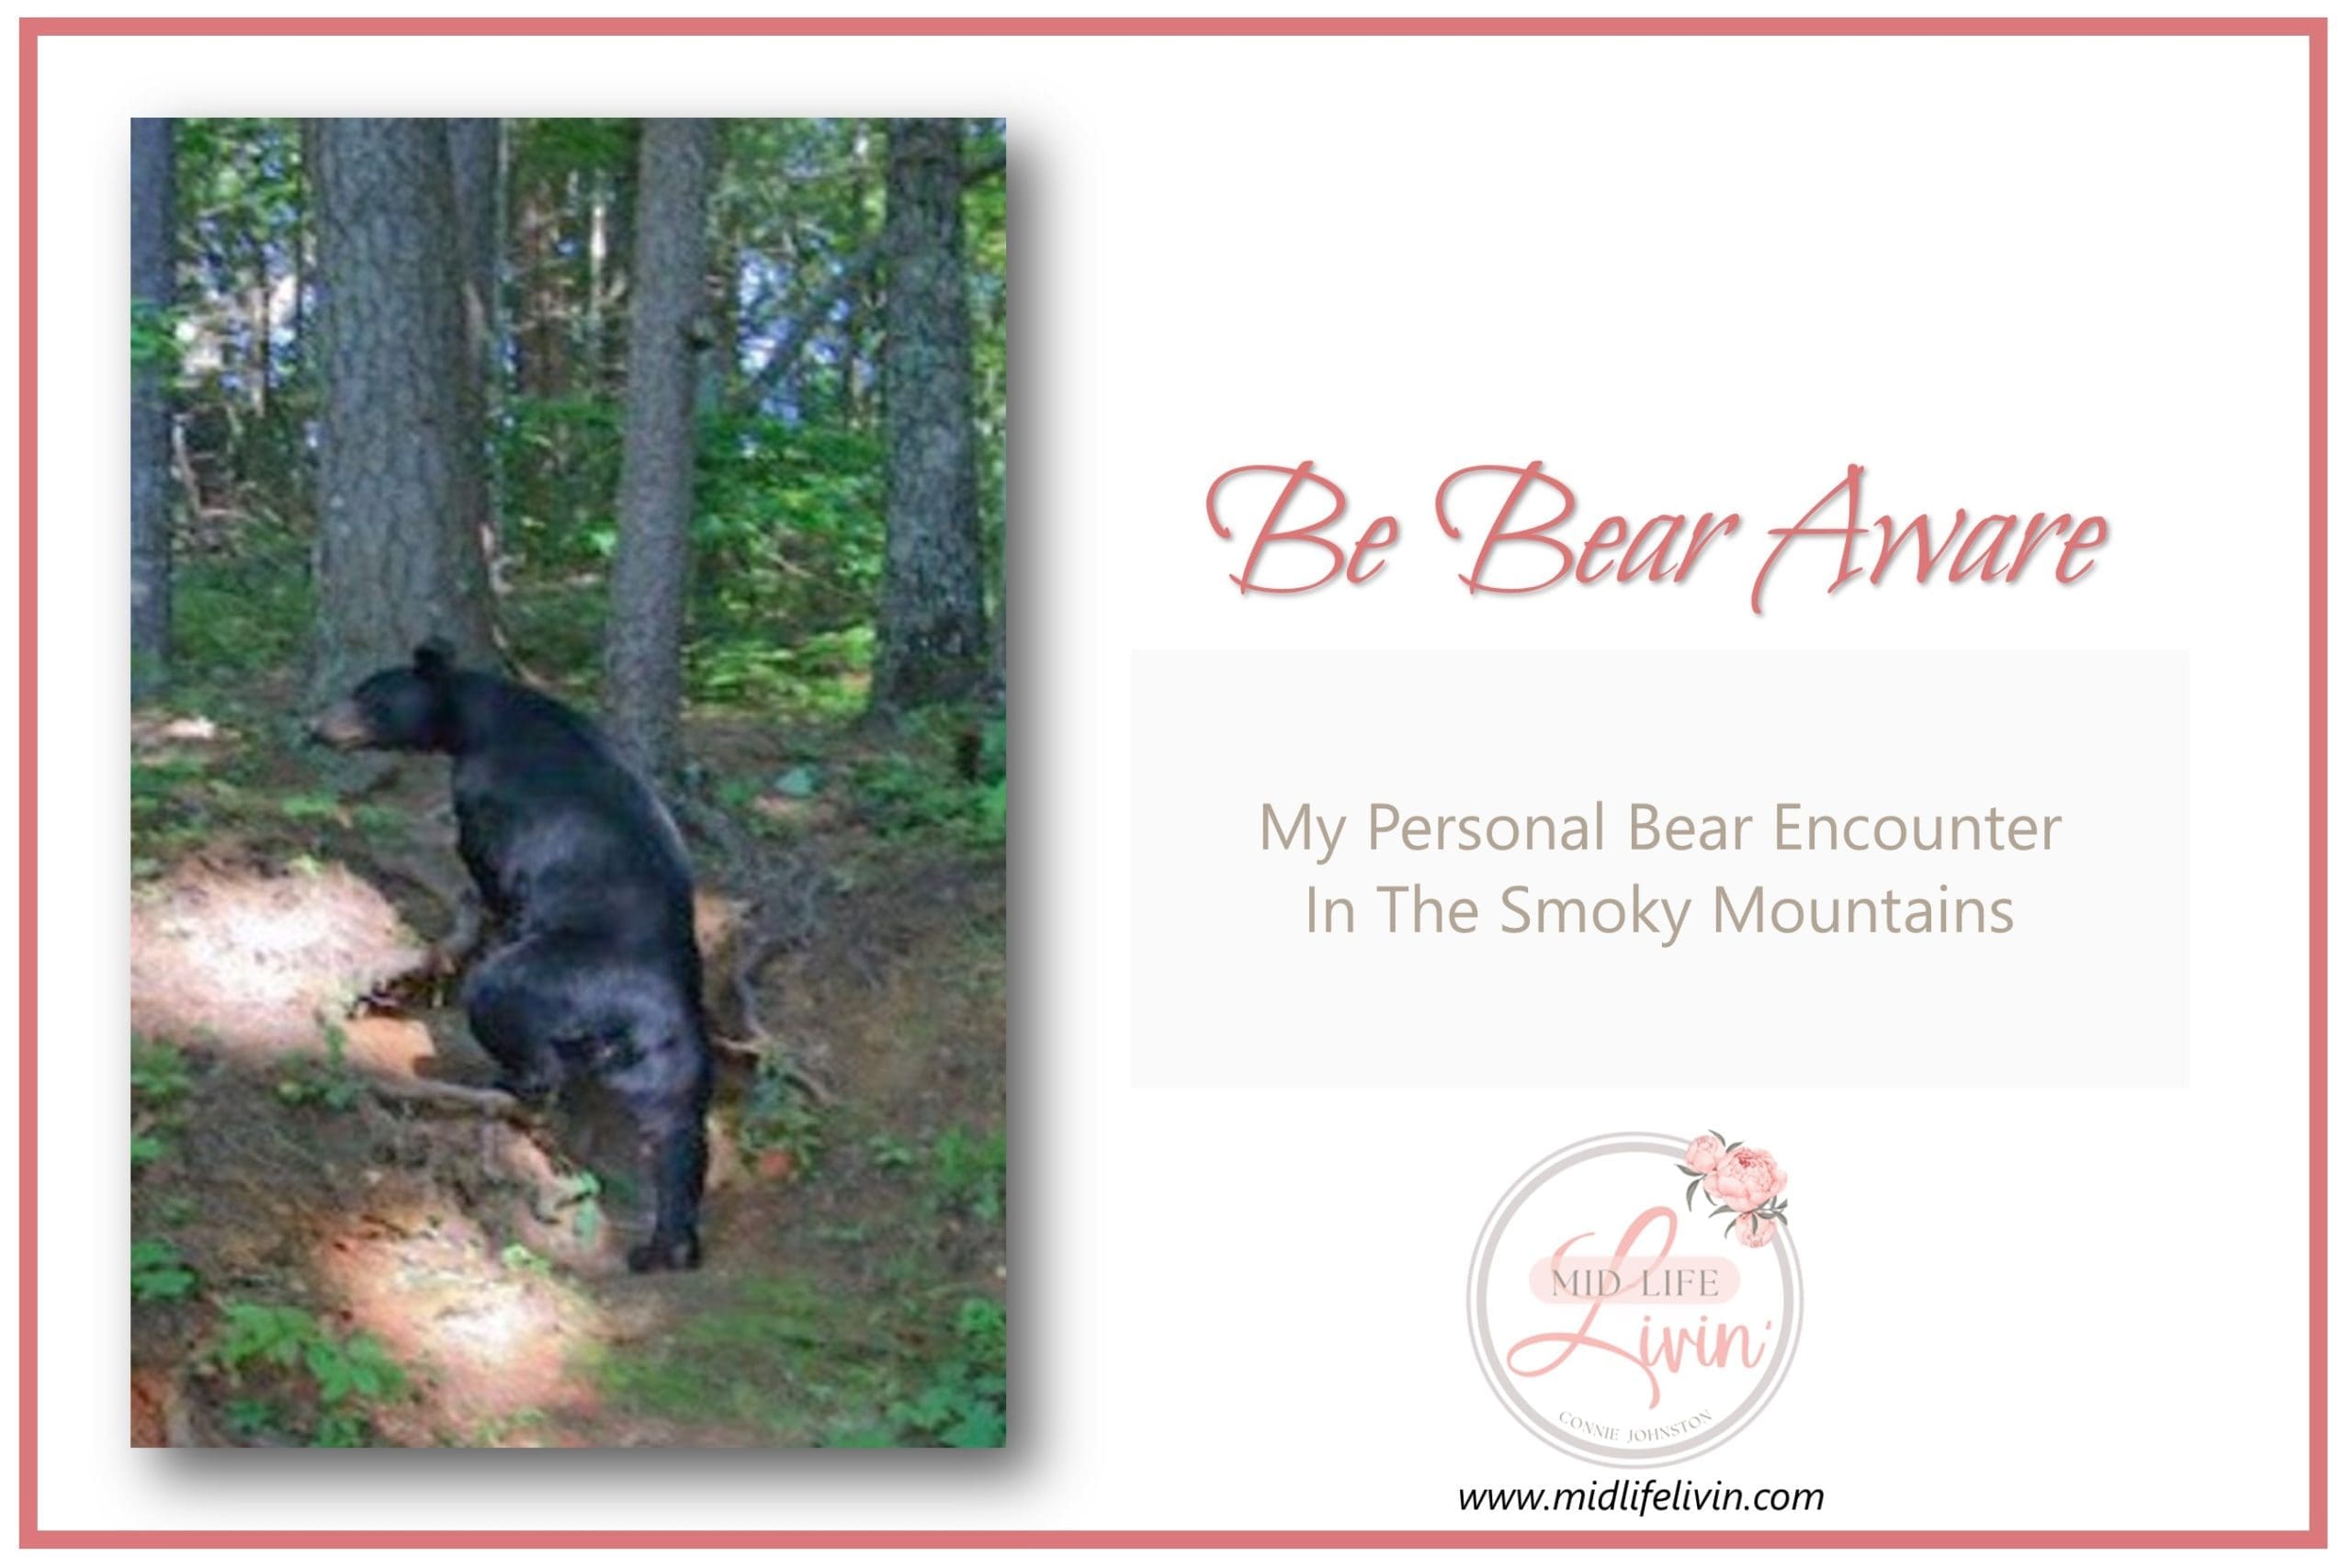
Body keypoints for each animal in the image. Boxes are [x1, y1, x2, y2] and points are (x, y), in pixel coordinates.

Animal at [310, 641, 714, 1272]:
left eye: (369, 697)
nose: (316, 727)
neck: (475, 724)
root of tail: (648, 1006)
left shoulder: (488, 791)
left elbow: (484, 857)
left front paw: (487, 907)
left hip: (563, 972)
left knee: (502, 1001)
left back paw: (510, 1077)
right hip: (676, 1051)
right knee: (676, 1127)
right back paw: (667, 1243)